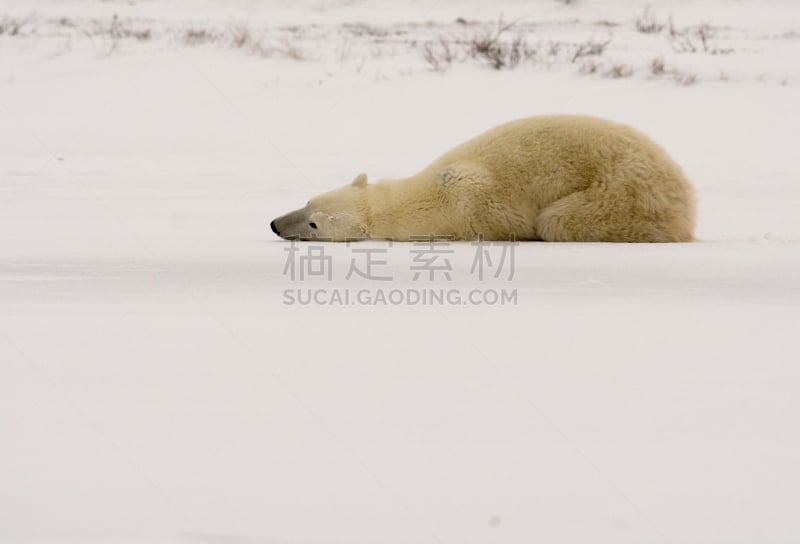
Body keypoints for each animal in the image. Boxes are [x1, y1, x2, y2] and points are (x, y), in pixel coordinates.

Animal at [268, 115, 692, 242]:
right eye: (308, 201)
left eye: (314, 224)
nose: (274, 224)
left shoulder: (472, 205)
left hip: (623, 192)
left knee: (559, 220)